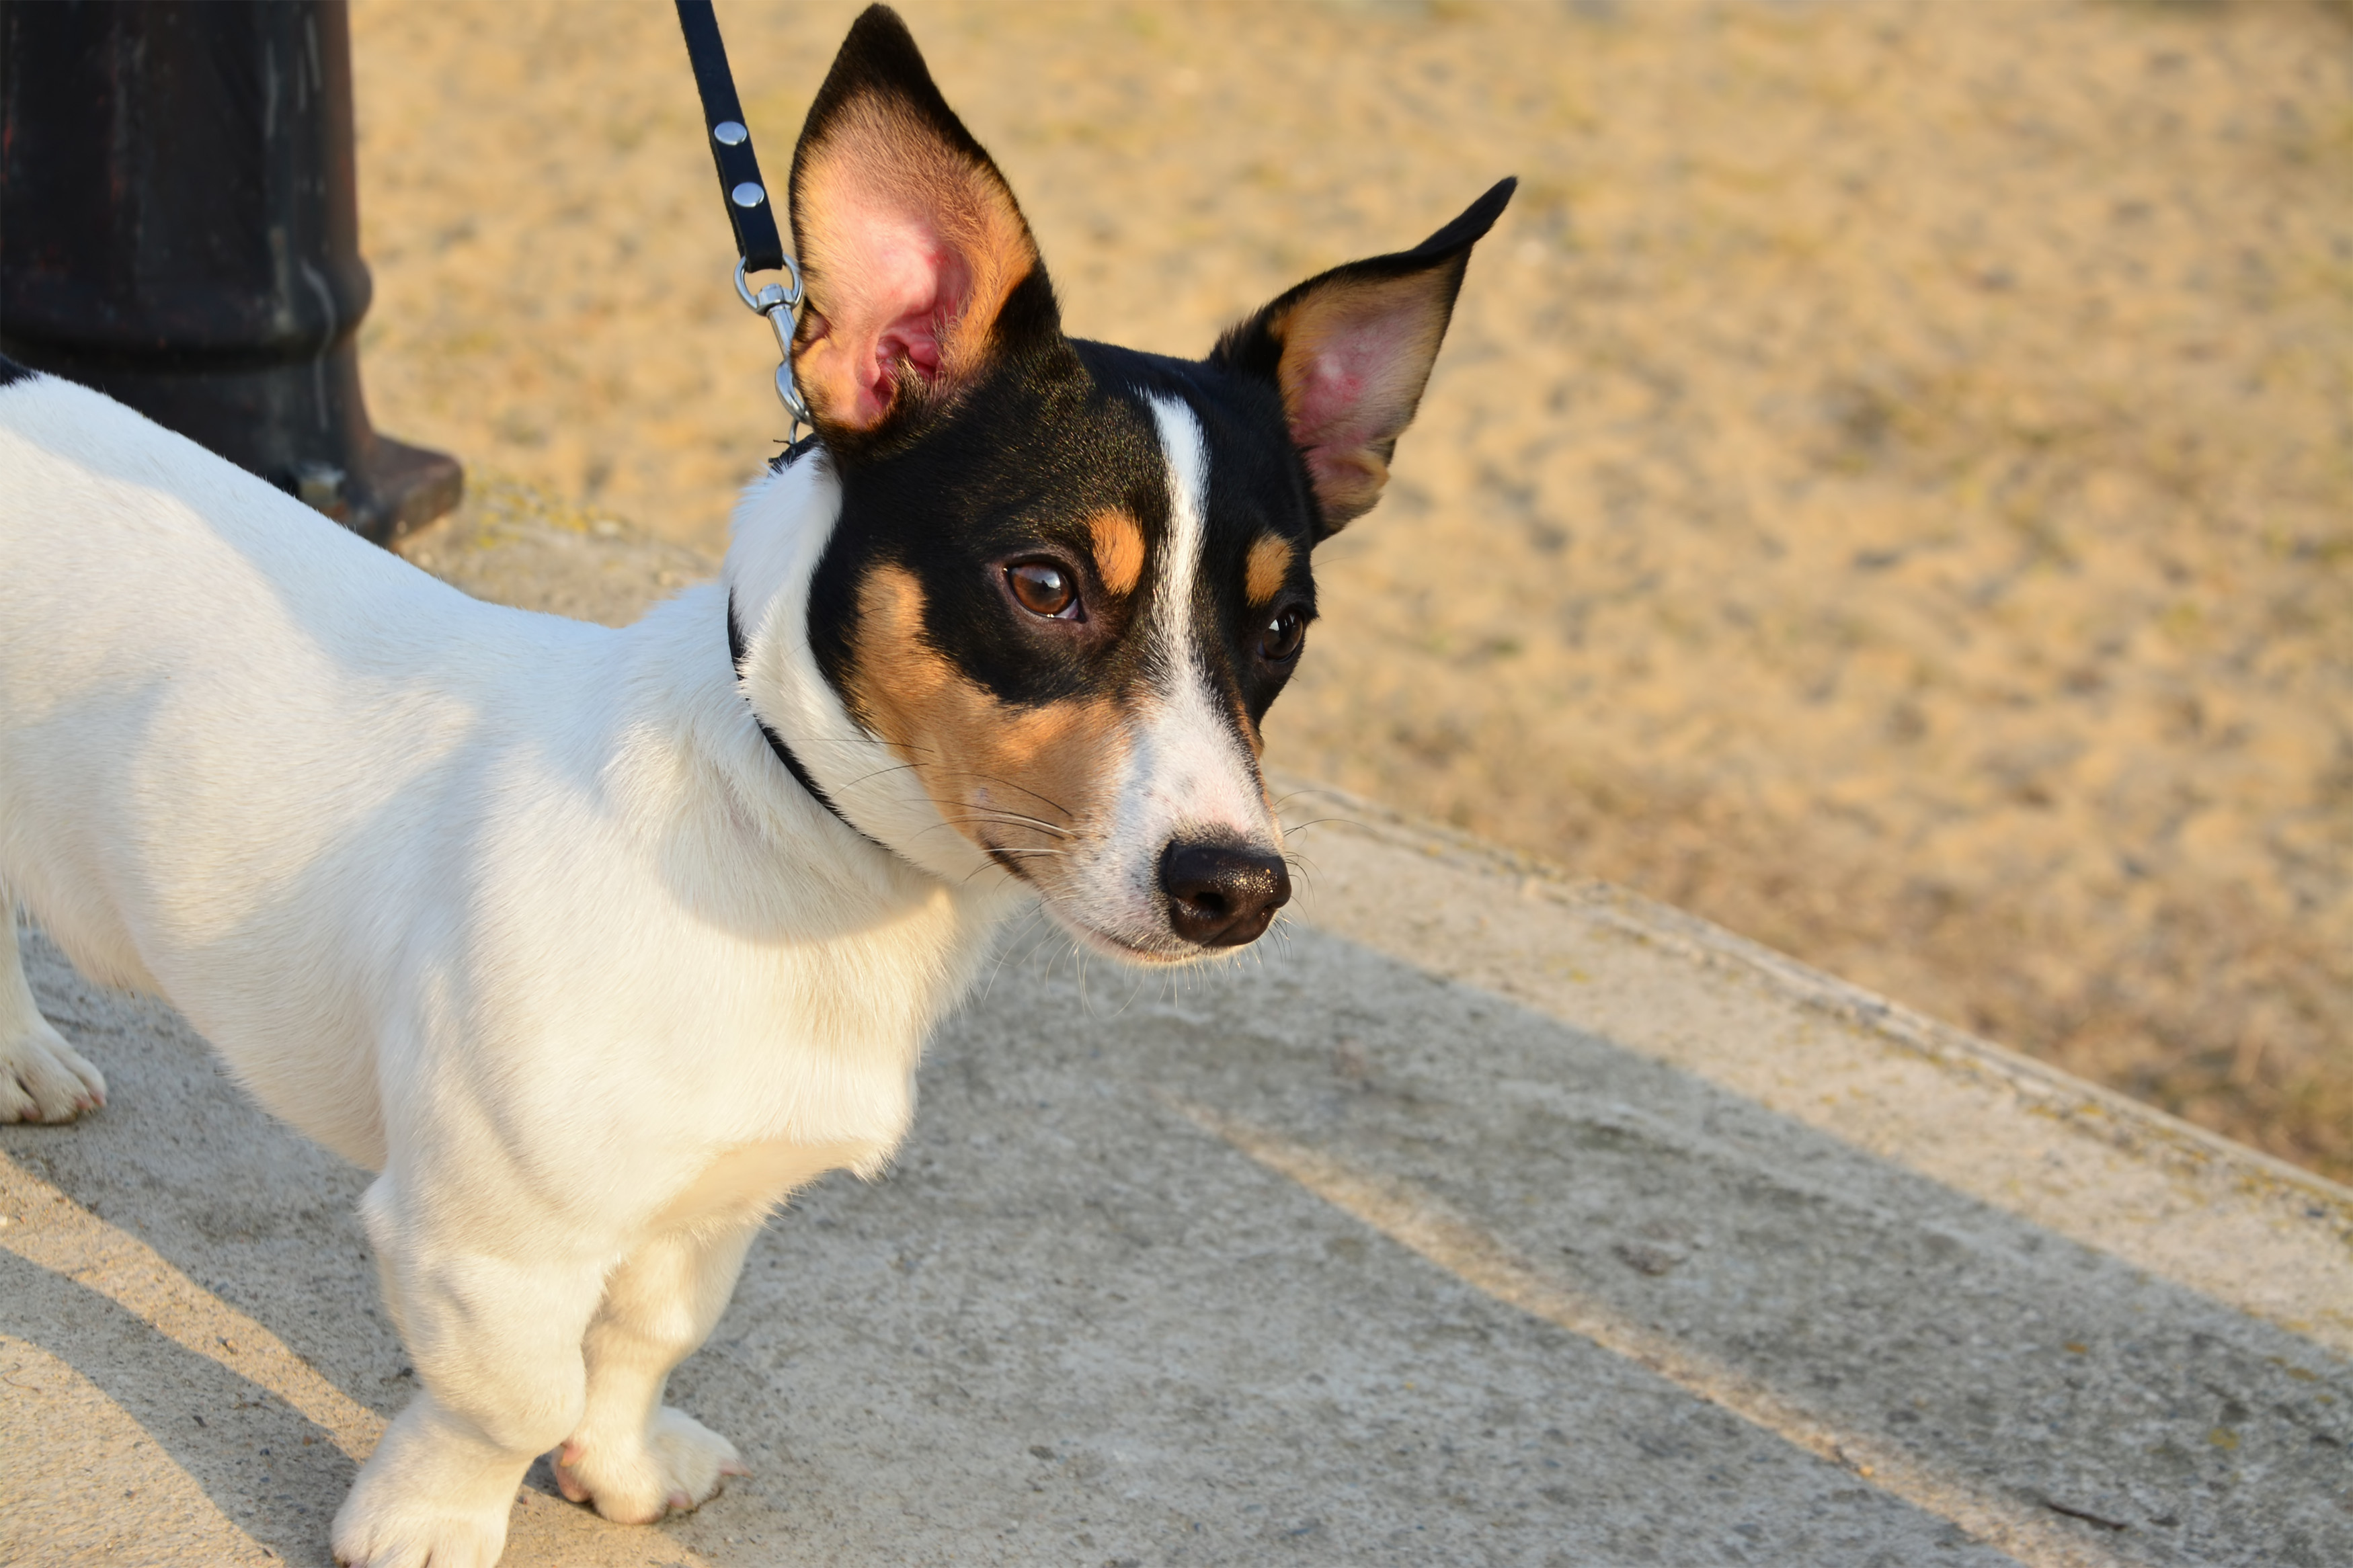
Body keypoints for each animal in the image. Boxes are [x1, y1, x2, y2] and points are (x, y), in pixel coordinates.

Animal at [0, 6, 1506, 1561]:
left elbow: (643, 1338)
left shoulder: (709, 1205)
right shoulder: (484, 1236)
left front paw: (619, 1463)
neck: (780, 834)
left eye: (1282, 626)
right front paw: (431, 1515)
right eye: (1045, 583)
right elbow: (511, 1391)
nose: (1237, 887)